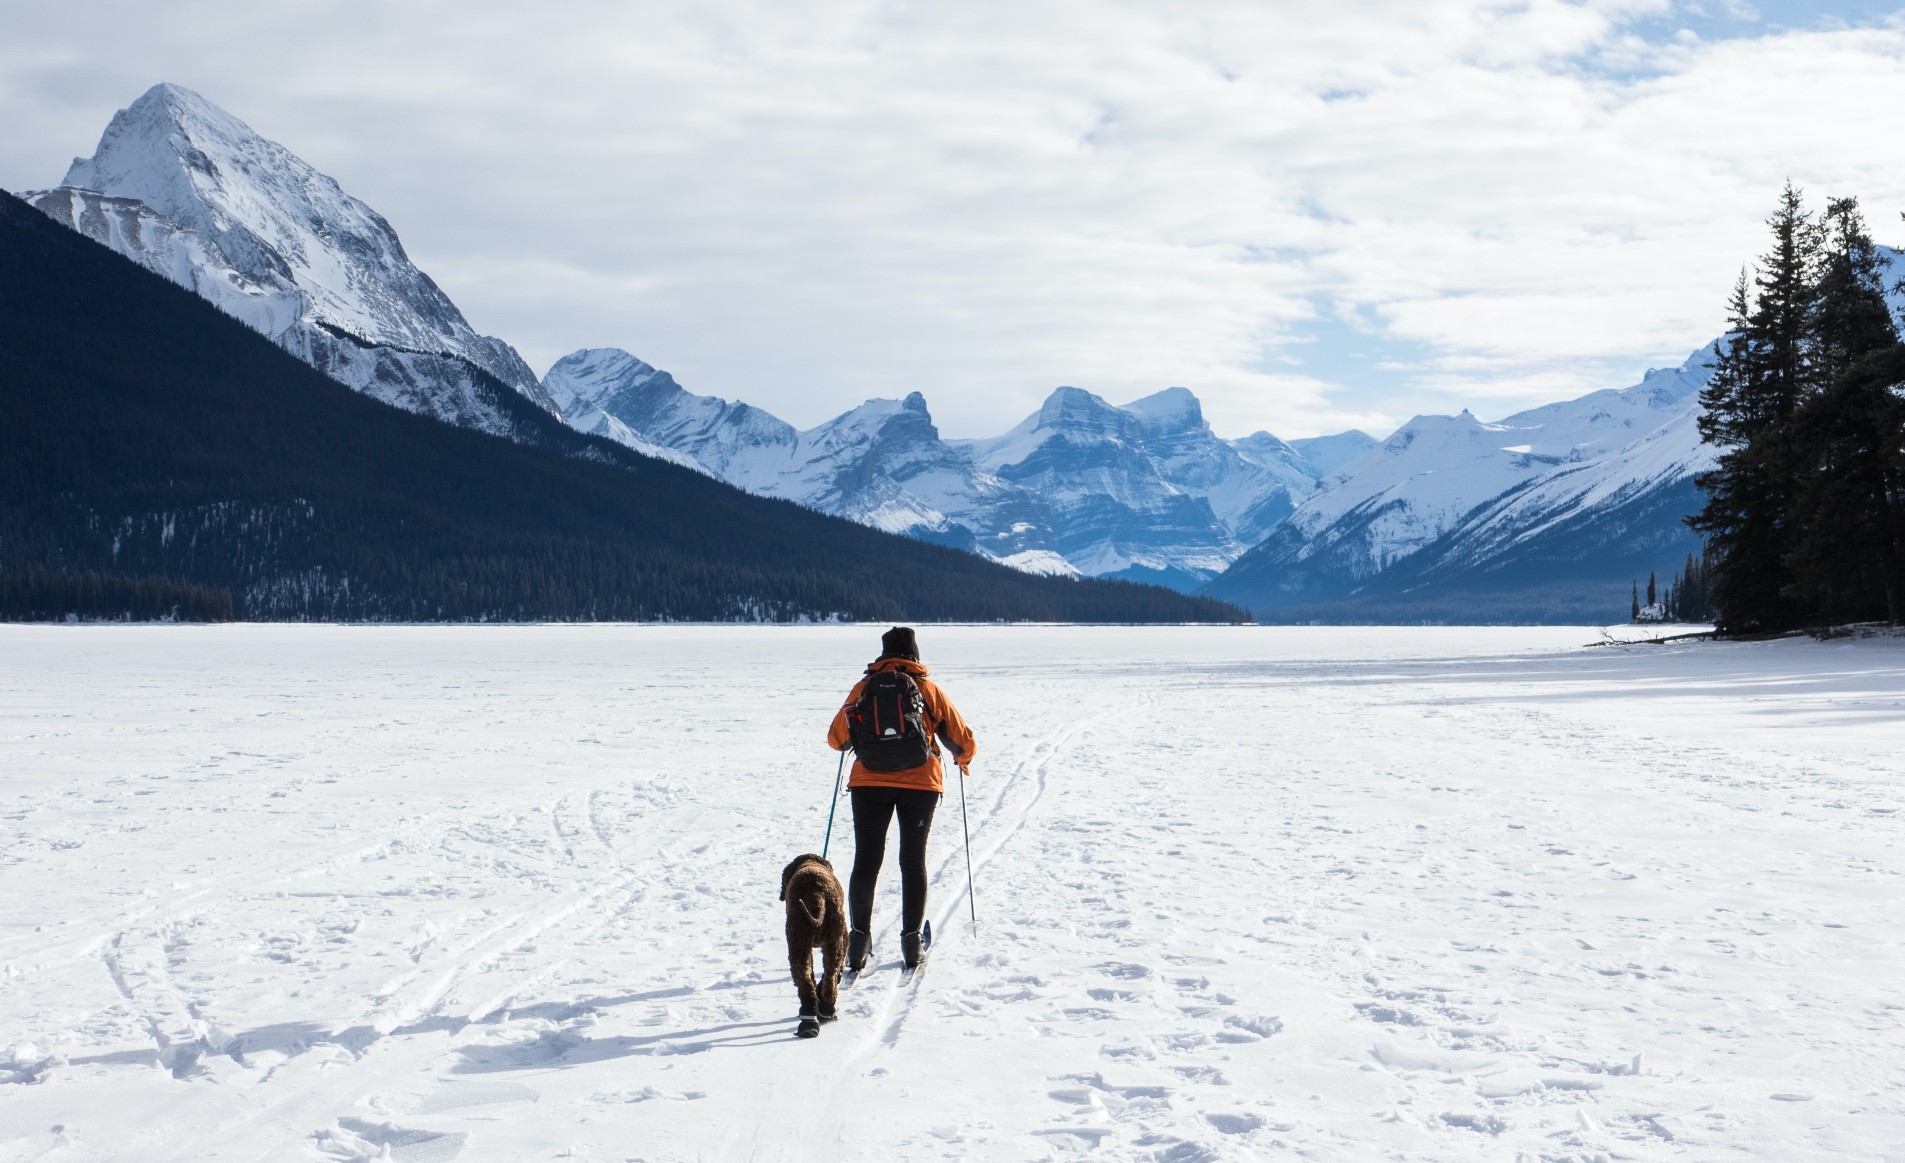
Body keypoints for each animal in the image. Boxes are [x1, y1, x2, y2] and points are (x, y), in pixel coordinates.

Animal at [777, 850, 845, 1029]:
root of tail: (817, 894)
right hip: (832, 941)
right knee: (828, 979)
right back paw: (824, 1012)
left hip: (800, 943)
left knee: (811, 980)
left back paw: (810, 1021)